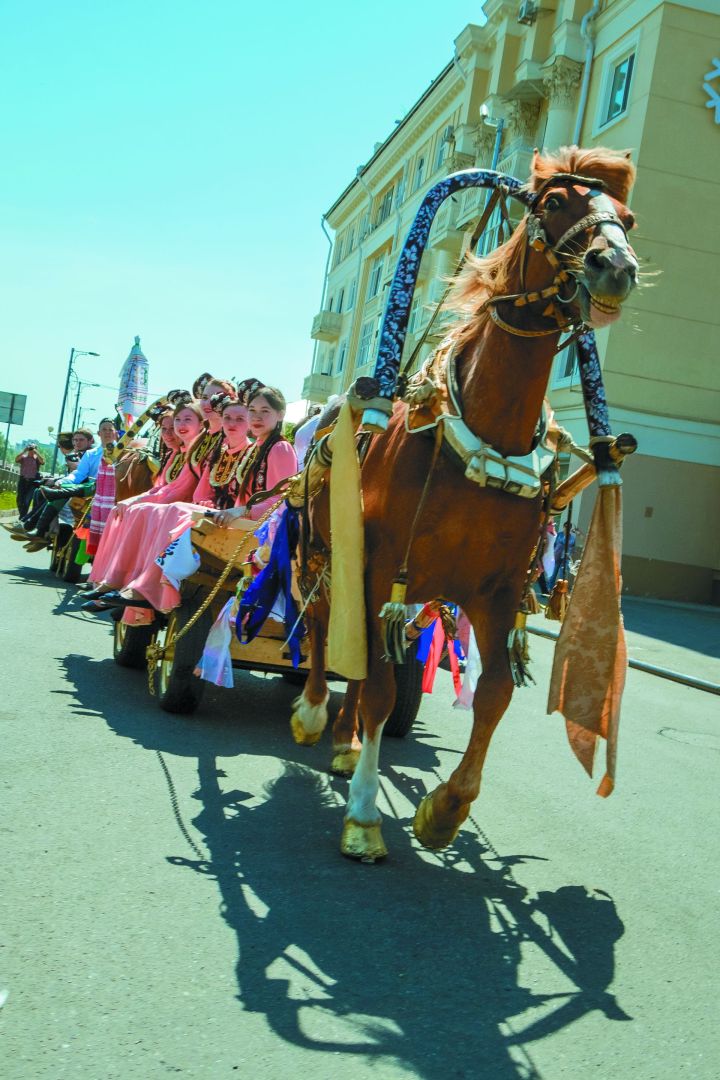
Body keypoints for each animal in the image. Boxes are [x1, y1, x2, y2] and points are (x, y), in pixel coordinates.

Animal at [289, 150, 639, 859]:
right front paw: (364, 815)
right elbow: (381, 684)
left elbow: (495, 692)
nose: (615, 266)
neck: (484, 430)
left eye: (629, 216)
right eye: (554, 203)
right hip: (323, 554)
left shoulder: (493, 590)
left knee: (359, 663)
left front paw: (446, 807)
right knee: (320, 629)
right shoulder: (375, 570)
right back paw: (313, 714)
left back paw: (345, 744)